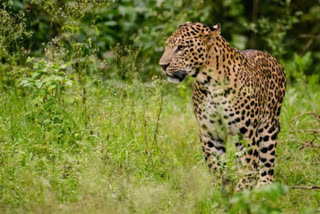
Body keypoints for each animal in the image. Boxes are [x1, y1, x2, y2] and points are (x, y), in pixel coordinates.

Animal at [159, 22, 286, 191]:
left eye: (181, 48)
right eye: (167, 46)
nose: (162, 65)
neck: (211, 84)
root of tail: (272, 58)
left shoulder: (246, 135)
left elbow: (247, 169)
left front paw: (241, 193)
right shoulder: (211, 134)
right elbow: (216, 166)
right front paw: (218, 191)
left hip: (268, 128)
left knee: (267, 162)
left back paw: (264, 187)